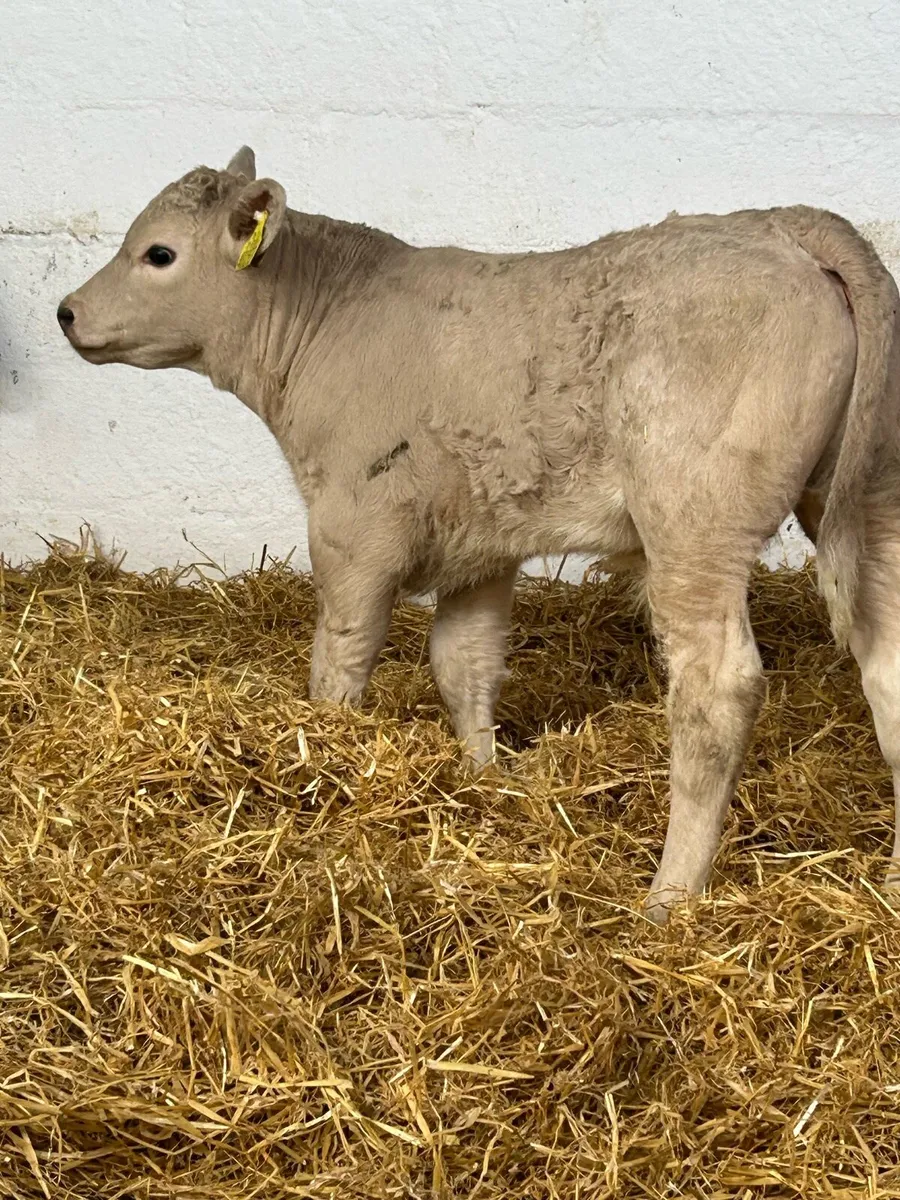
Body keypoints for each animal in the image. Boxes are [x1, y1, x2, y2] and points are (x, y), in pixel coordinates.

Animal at [58, 146, 900, 923]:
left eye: (159, 253)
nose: (66, 311)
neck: (324, 321)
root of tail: (781, 224)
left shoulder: (353, 530)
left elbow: (341, 659)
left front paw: (326, 752)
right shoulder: (481, 543)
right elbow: (463, 662)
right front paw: (484, 778)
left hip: (695, 519)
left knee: (716, 690)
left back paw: (669, 896)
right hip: (867, 497)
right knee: (886, 654)